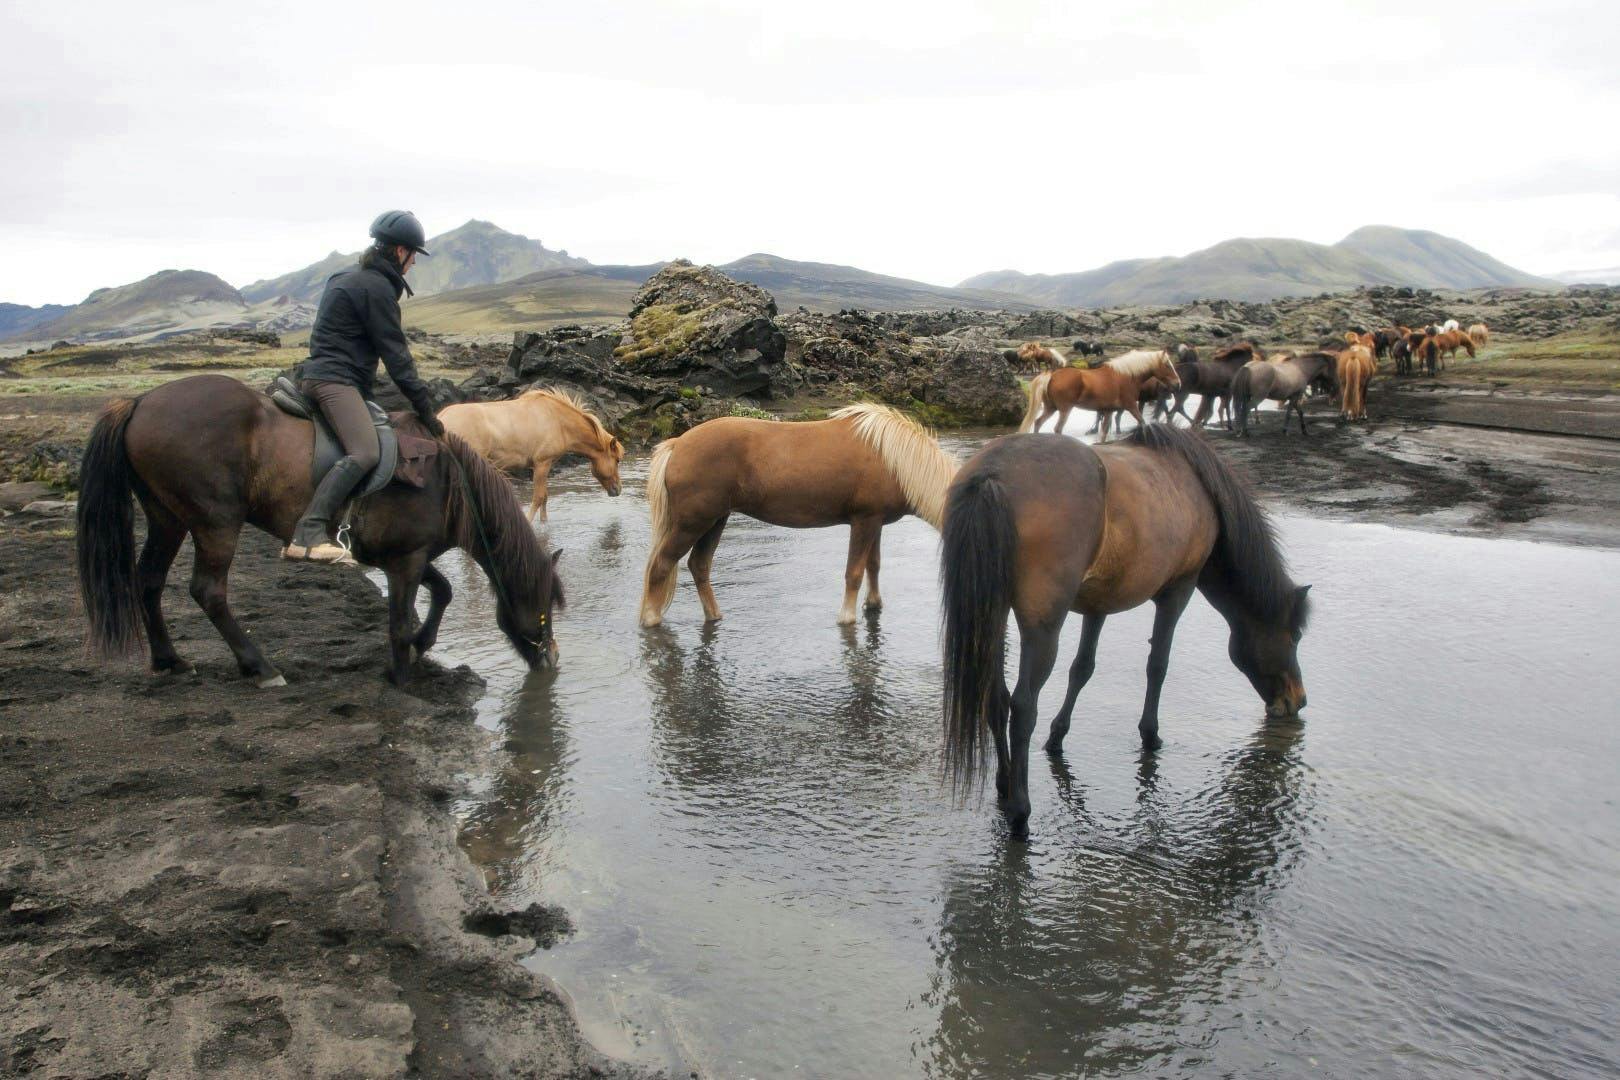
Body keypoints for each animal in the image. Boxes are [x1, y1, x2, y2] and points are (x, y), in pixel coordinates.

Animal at [77, 375, 570, 689]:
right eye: (545, 610)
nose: (551, 658)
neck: (450, 483)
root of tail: (140, 402)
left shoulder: (400, 556)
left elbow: (443, 591)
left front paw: (421, 646)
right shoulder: (406, 560)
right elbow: (399, 621)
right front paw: (403, 678)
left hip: (167, 519)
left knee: (149, 581)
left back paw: (170, 660)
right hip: (215, 524)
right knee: (208, 591)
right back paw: (260, 667)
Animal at [443, 388, 625, 524]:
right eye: (617, 460)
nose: (618, 489)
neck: (558, 421)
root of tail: (442, 419)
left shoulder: (545, 465)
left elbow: (544, 497)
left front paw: (544, 523)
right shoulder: (542, 463)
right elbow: (538, 498)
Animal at [635, 403, 959, 625]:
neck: (893, 458)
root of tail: (677, 444)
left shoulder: (875, 522)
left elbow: (873, 565)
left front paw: (874, 604)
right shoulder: (864, 521)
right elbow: (854, 572)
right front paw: (847, 617)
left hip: (715, 521)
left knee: (699, 566)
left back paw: (714, 616)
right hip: (692, 524)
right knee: (661, 566)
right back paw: (652, 619)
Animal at [939, 427, 1302, 841]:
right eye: (1294, 636)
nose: (1297, 700)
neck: (1197, 485)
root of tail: (993, 475)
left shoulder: (1097, 604)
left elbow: (1082, 669)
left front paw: (1057, 737)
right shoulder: (1178, 589)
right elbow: (1157, 665)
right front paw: (1150, 736)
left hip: (994, 613)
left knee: (996, 699)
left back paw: (1004, 784)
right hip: (1041, 625)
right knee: (1023, 706)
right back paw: (1020, 812)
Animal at [1017, 348, 1185, 437]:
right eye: (1168, 365)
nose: (1178, 384)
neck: (1126, 376)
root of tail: (1052, 375)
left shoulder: (1109, 410)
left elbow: (1104, 433)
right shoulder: (1131, 406)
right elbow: (1142, 422)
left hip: (1051, 408)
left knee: (1038, 422)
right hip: (1065, 410)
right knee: (1057, 428)